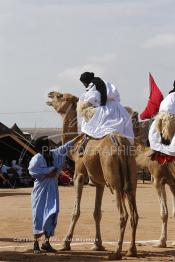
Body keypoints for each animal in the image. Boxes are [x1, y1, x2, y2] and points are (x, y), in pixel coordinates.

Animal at [47, 91, 139, 258]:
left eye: (60, 96)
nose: (50, 94)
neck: (74, 148)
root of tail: (120, 144)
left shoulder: (79, 175)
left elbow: (76, 211)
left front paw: (65, 243)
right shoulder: (99, 183)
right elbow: (97, 212)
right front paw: (98, 245)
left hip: (114, 182)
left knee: (123, 214)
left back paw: (117, 252)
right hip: (131, 179)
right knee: (134, 214)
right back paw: (131, 250)